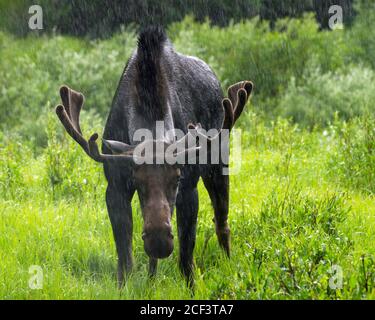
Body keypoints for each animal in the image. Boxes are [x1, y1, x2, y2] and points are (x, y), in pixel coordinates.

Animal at [55, 26, 253, 286]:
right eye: (136, 180)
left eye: (177, 178)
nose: (158, 241)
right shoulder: (115, 186)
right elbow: (125, 263)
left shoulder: (189, 188)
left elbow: (186, 261)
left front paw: (193, 289)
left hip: (218, 164)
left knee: (222, 224)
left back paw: (230, 267)